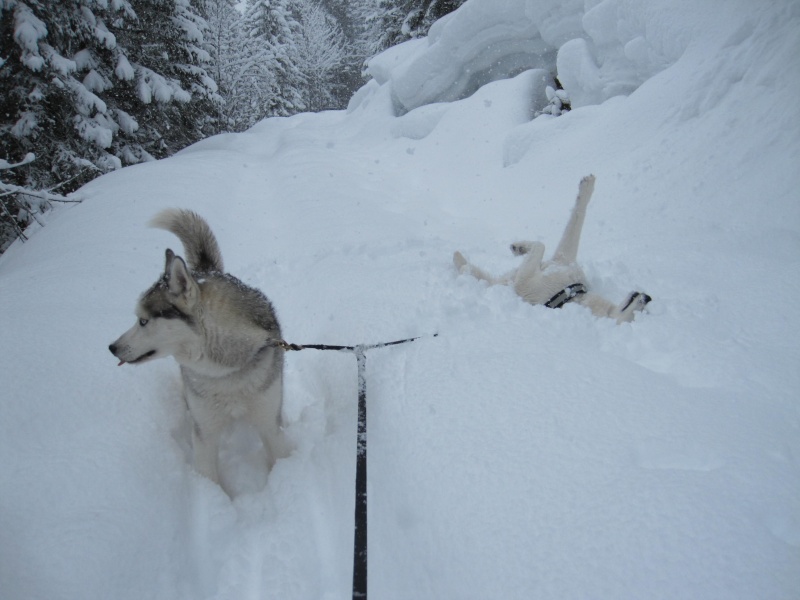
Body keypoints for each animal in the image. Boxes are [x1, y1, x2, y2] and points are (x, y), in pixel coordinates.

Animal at [456, 175, 648, 324]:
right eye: (643, 308)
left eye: (640, 313)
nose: (648, 297)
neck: (575, 294)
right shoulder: (564, 258)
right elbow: (576, 218)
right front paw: (520, 247)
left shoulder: (525, 283)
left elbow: (541, 245)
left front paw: (522, 247)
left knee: (471, 271)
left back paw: (459, 260)